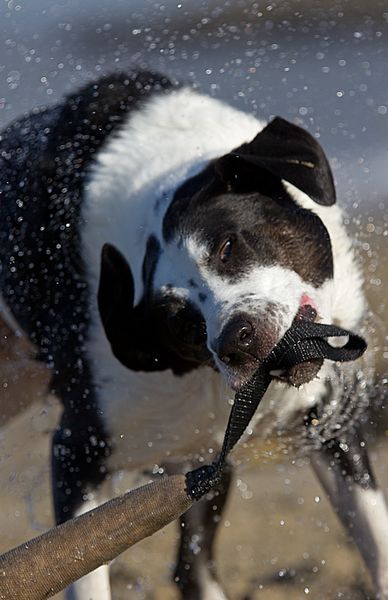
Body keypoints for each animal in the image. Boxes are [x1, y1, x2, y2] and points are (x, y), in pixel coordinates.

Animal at [0, 71, 388, 600]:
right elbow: (83, 567)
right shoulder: (79, 448)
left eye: (226, 246)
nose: (236, 339)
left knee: (193, 567)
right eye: (182, 324)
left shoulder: (327, 422)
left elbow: (375, 537)